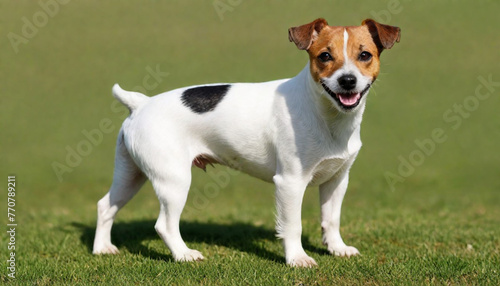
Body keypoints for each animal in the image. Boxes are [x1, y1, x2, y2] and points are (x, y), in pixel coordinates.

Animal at [93, 17, 398, 268]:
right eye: (325, 56)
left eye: (365, 55)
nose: (347, 80)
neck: (325, 114)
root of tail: (141, 104)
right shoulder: (290, 183)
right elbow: (293, 225)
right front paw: (297, 259)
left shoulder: (336, 180)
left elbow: (331, 219)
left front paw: (337, 248)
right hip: (173, 181)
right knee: (164, 225)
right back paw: (184, 254)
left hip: (131, 175)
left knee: (105, 206)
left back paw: (102, 248)